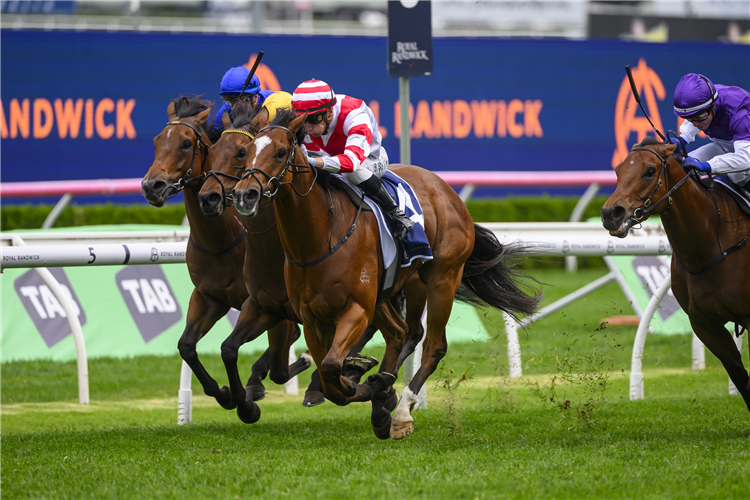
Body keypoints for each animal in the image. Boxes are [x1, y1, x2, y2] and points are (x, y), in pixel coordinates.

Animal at [142, 96, 310, 418]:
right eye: (156, 141)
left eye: (186, 143)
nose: (151, 186)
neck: (223, 240)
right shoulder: (210, 296)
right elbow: (187, 345)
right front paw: (224, 393)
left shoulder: (262, 302)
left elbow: (276, 361)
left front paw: (247, 397)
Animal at [231, 111, 540, 440]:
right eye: (245, 152)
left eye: (280, 152)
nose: (244, 195)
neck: (318, 238)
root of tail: (447, 190)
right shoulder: (312, 317)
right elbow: (329, 380)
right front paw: (366, 382)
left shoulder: (356, 308)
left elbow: (331, 366)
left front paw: (370, 384)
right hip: (391, 291)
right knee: (401, 333)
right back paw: (381, 395)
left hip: (441, 278)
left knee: (432, 344)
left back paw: (401, 409)